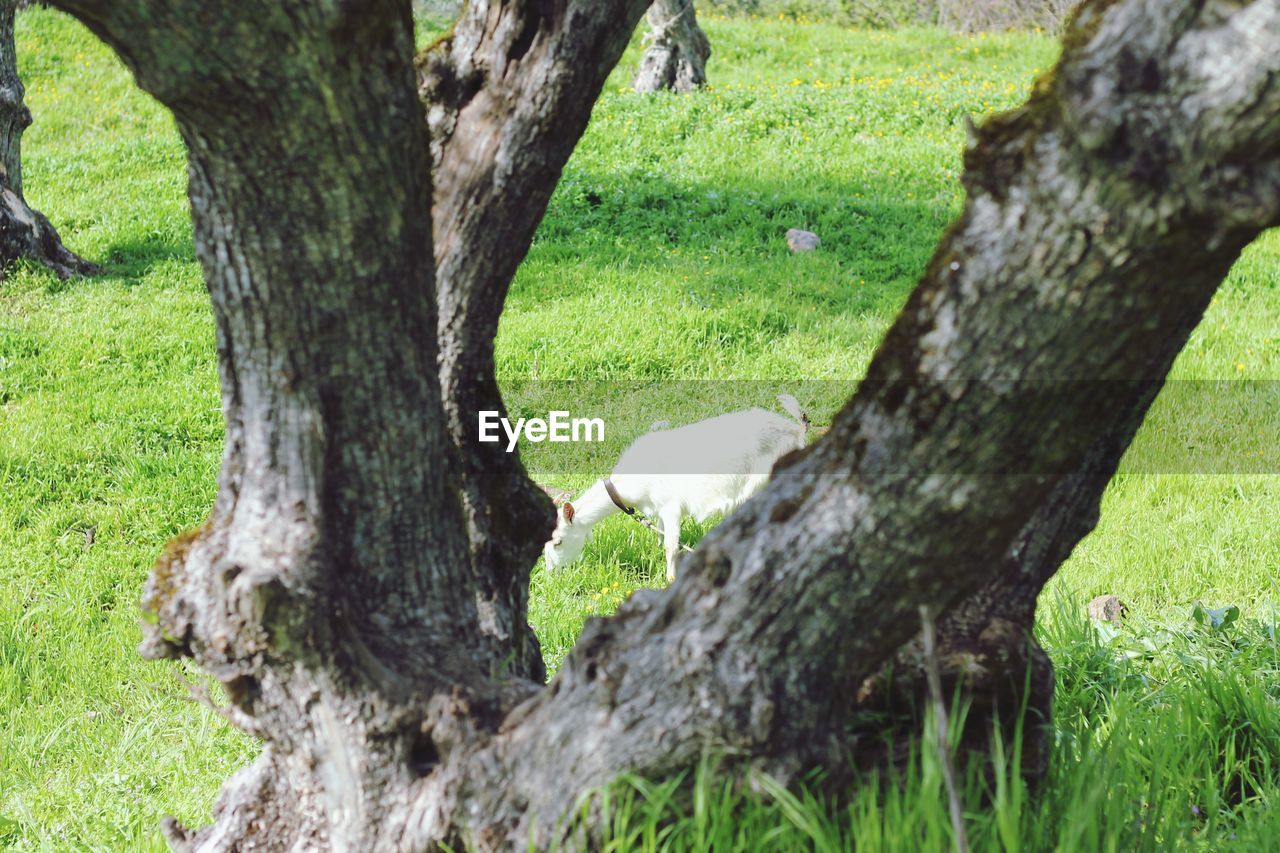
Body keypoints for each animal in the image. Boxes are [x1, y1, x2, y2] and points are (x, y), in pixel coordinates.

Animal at [542, 394, 808, 581]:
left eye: (558, 542)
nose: (551, 573)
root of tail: (797, 431)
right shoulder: (659, 509)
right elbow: (660, 535)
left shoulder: (671, 506)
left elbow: (671, 545)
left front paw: (669, 578)